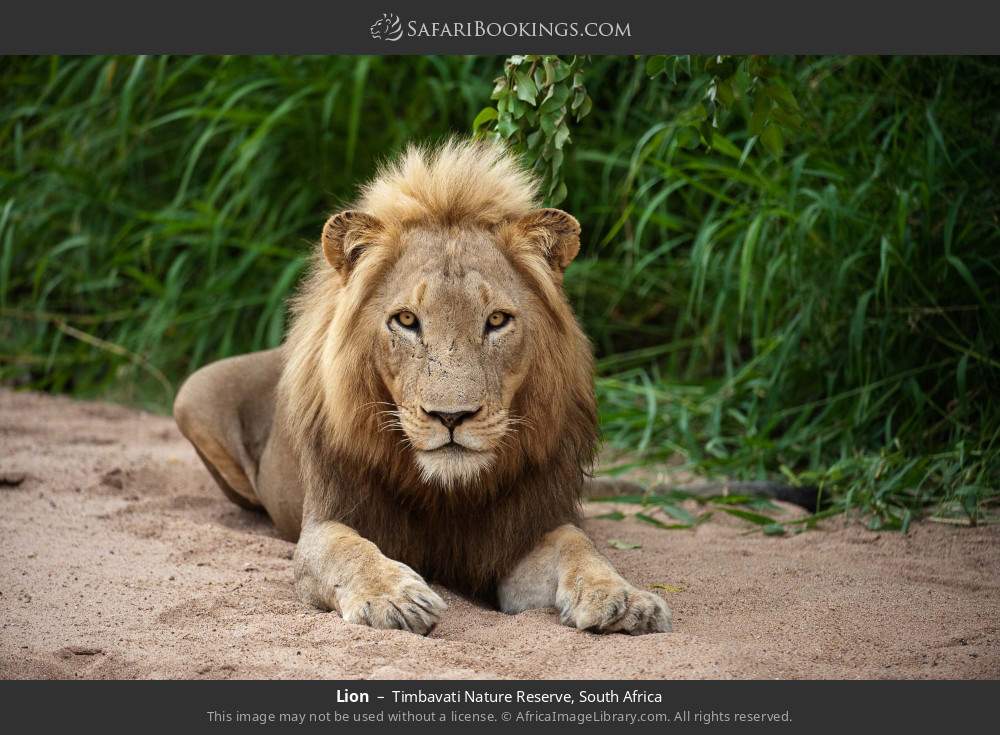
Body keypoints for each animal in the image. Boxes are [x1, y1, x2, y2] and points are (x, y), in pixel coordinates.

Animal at [173, 139, 671, 636]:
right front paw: (393, 597)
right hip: (191, 395)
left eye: (496, 320)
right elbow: (346, 549)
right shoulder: (327, 521)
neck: (445, 494)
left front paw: (624, 599)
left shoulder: (522, 533)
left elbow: (576, 543)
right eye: (407, 320)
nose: (451, 417)